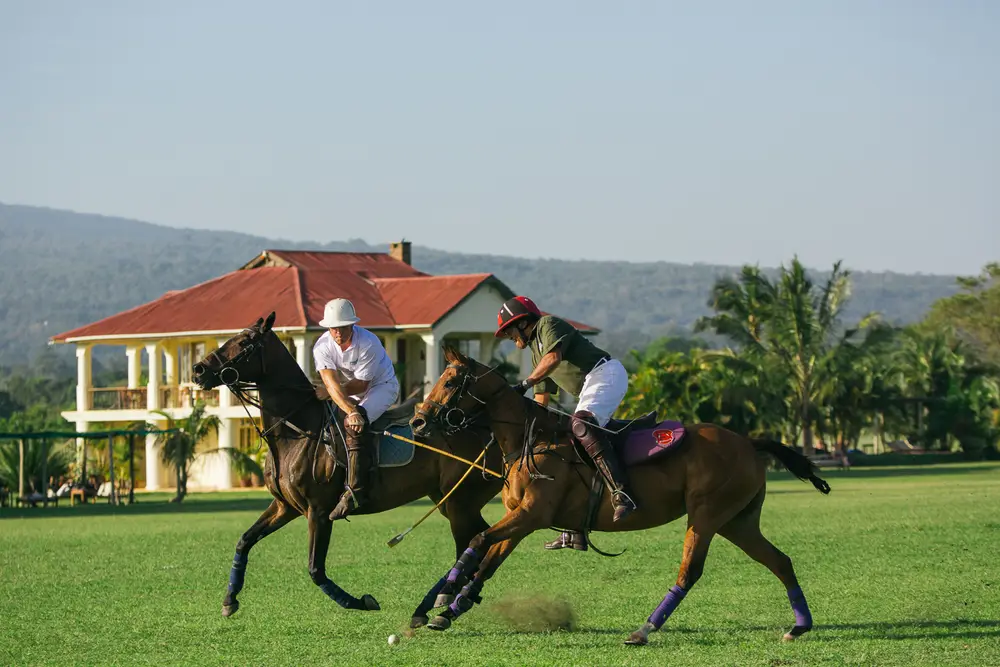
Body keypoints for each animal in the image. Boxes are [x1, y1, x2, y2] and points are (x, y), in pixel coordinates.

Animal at [192, 314, 504, 628]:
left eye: (245, 342)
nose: (198, 370)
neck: (295, 431)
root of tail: (487, 430)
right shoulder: (284, 506)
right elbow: (244, 541)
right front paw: (229, 600)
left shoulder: (318, 511)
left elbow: (315, 569)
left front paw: (362, 601)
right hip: (448, 500)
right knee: (480, 537)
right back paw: (448, 598)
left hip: (460, 502)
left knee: (474, 540)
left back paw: (443, 600)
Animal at [406, 350, 828, 648]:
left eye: (451, 381)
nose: (418, 421)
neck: (532, 439)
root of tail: (749, 442)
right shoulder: (520, 519)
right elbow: (487, 561)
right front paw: (450, 608)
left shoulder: (532, 514)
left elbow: (478, 541)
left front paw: (444, 597)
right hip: (736, 521)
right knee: (780, 561)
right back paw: (798, 627)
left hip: (707, 514)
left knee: (690, 572)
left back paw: (643, 630)